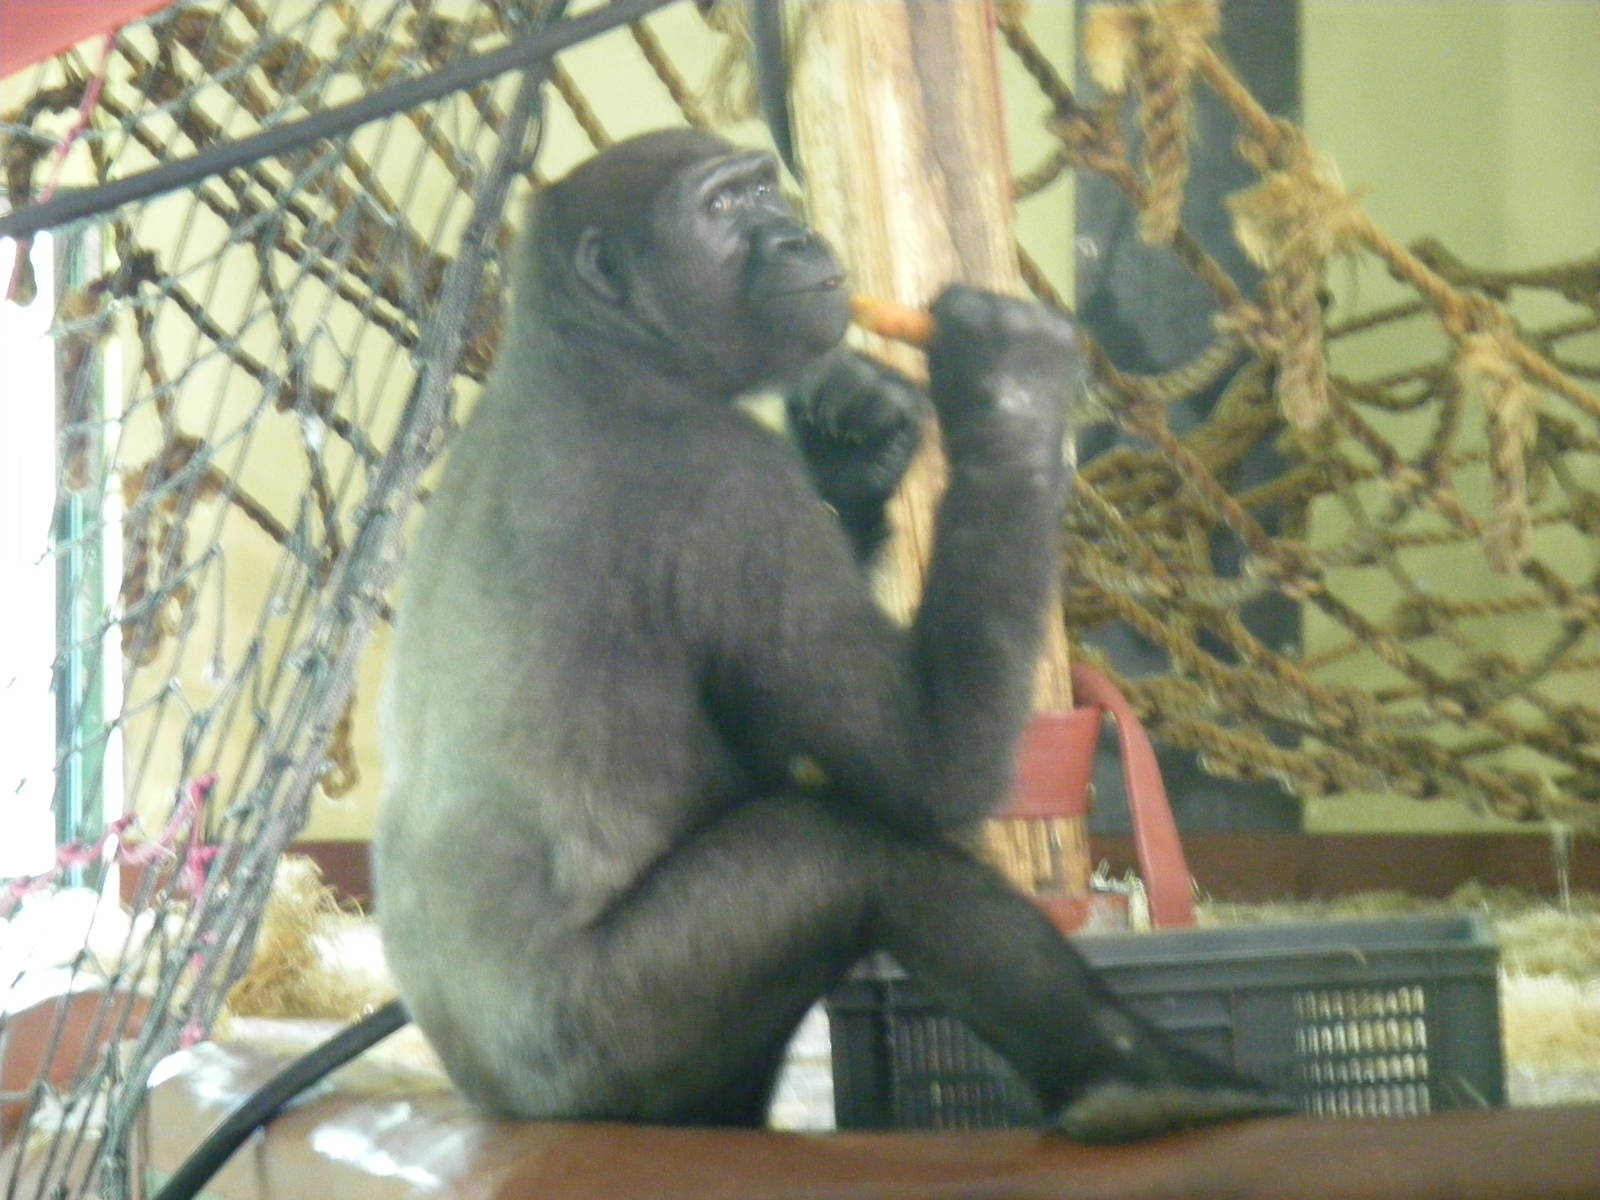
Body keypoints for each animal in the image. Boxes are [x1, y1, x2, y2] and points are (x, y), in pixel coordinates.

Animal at [372, 127, 1287, 1139]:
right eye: (723, 209)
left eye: (766, 190)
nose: (798, 236)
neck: (591, 350)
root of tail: (497, 1107)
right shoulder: (729, 487)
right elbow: (925, 764)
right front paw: (1010, 394)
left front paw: (854, 442)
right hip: (599, 1060)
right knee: (853, 855)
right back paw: (1131, 1077)